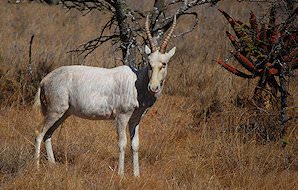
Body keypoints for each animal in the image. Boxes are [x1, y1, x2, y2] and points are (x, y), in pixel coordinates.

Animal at [33, 15, 176, 177]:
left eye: (164, 63)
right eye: (149, 63)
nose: (153, 87)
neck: (136, 82)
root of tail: (45, 80)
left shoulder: (135, 119)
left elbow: (135, 145)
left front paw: (137, 176)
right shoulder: (121, 116)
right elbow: (122, 144)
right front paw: (121, 175)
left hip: (63, 114)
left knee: (48, 135)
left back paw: (53, 165)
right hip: (55, 111)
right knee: (39, 133)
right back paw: (37, 168)